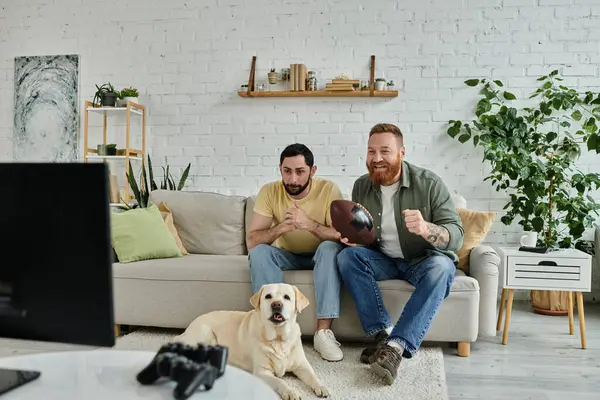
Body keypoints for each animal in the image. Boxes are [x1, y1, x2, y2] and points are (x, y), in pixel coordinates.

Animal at [176, 282, 330, 398]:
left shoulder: (302, 366)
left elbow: (313, 376)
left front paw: (322, 387)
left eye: (287, 297)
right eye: (268, 296)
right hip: (207, 334)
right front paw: (290, 391)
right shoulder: (263, 372)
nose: (276, 304)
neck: (278, 339)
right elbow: (280, 382)